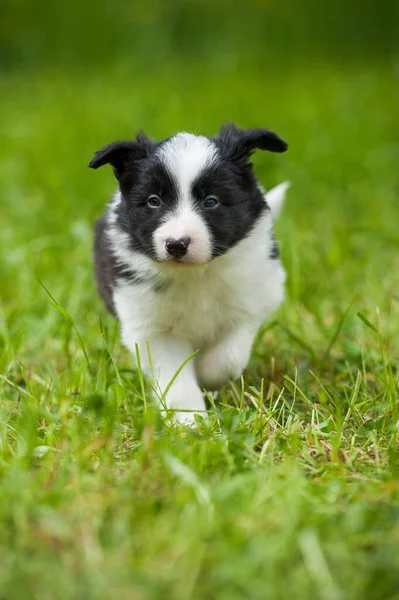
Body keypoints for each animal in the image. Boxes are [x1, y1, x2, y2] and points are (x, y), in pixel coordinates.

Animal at [90, 122, 290, 422]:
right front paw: (190, 422)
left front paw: (207, 379)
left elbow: (227, 357)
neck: (196, 274)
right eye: (154, 201)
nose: (176, 244)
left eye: (211, 201)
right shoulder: (151, 328)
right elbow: (176, 380)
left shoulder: (253, 300)